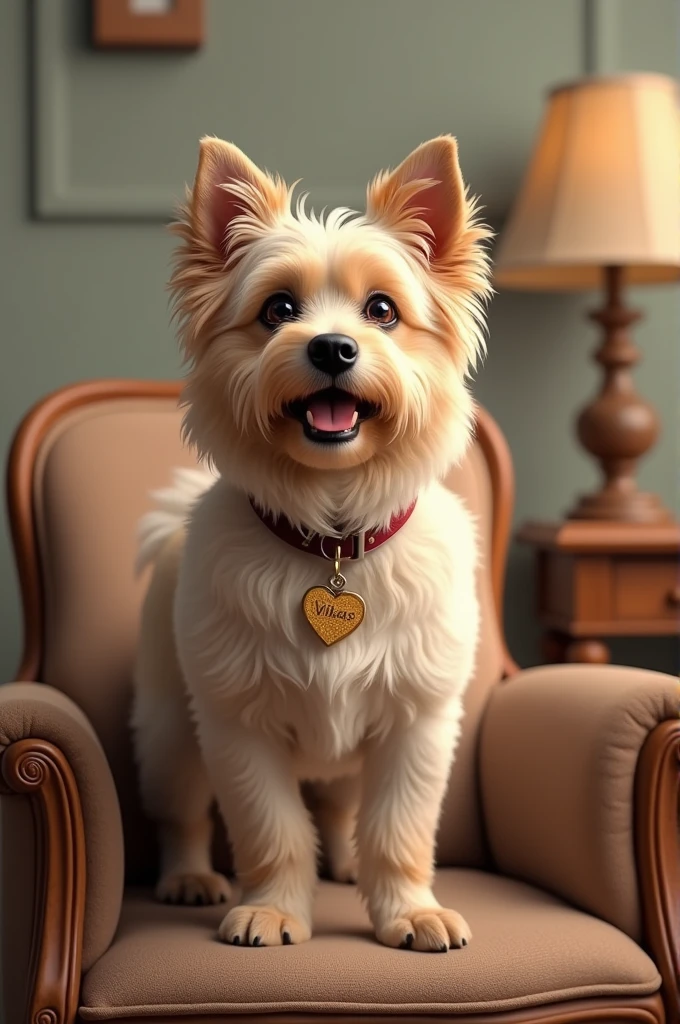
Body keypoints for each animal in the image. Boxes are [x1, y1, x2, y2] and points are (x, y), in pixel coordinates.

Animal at [131, 136, 493, 950]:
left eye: (383, 310)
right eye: (278, 310)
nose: (331, 347)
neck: (331, 533)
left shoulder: (417, 725)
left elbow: (397, 830)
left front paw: (409, 909)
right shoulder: (238, 727)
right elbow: (274, 831)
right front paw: (271, 908)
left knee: (343, 808)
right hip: (169, 731)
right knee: (182, 813)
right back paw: (189, 878)